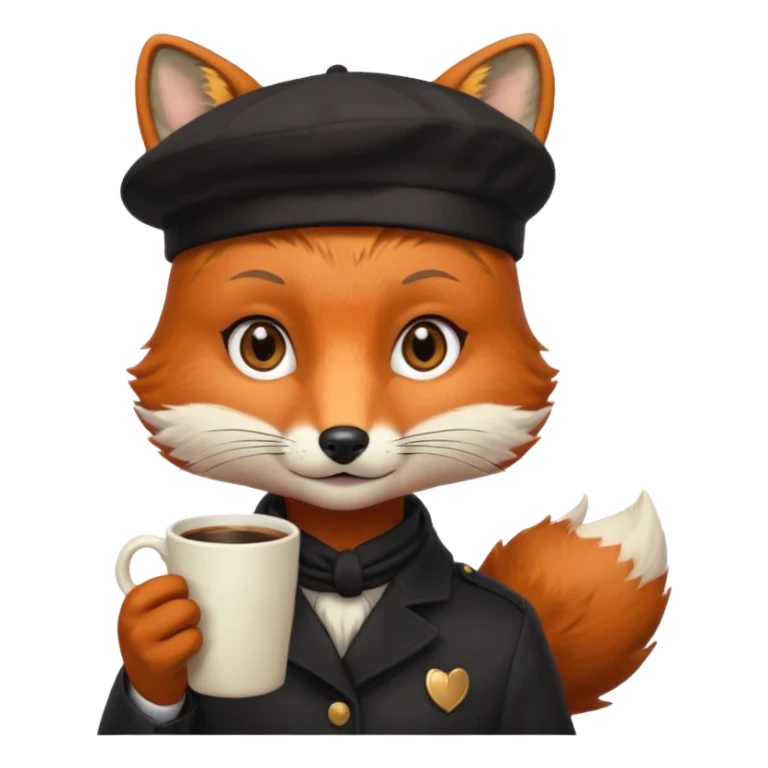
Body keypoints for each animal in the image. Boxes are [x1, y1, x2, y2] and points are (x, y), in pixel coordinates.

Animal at [99, 32, 669, 734]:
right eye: (261, 345)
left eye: (424, 346)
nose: (343, 440)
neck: (348, 562)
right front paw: (155, 644)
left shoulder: (526, 651)